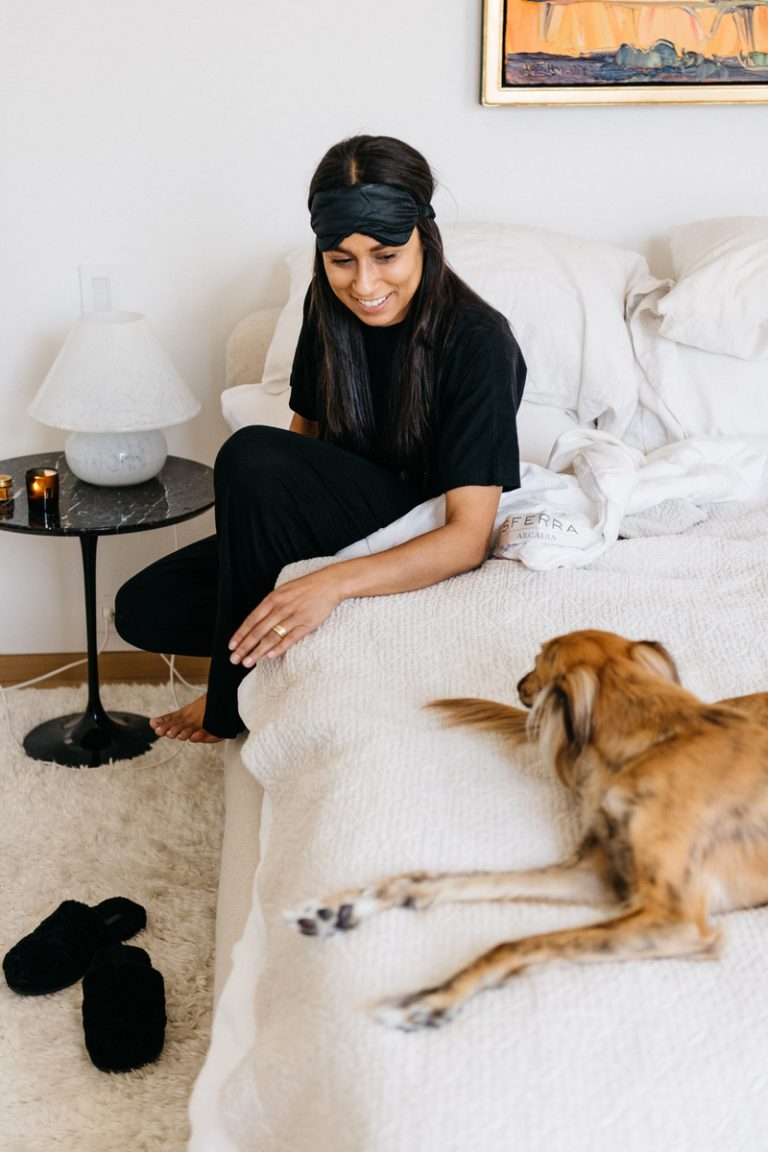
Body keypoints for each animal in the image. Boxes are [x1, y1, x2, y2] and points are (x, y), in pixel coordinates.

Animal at [285, 635, 768, 1032]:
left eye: (538, 659)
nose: (518, 682)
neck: (657, 739)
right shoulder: (601, 875)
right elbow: (450, 882)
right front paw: (349, 905)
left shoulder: (674, 919)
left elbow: (515, 944)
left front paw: (432, 1000)